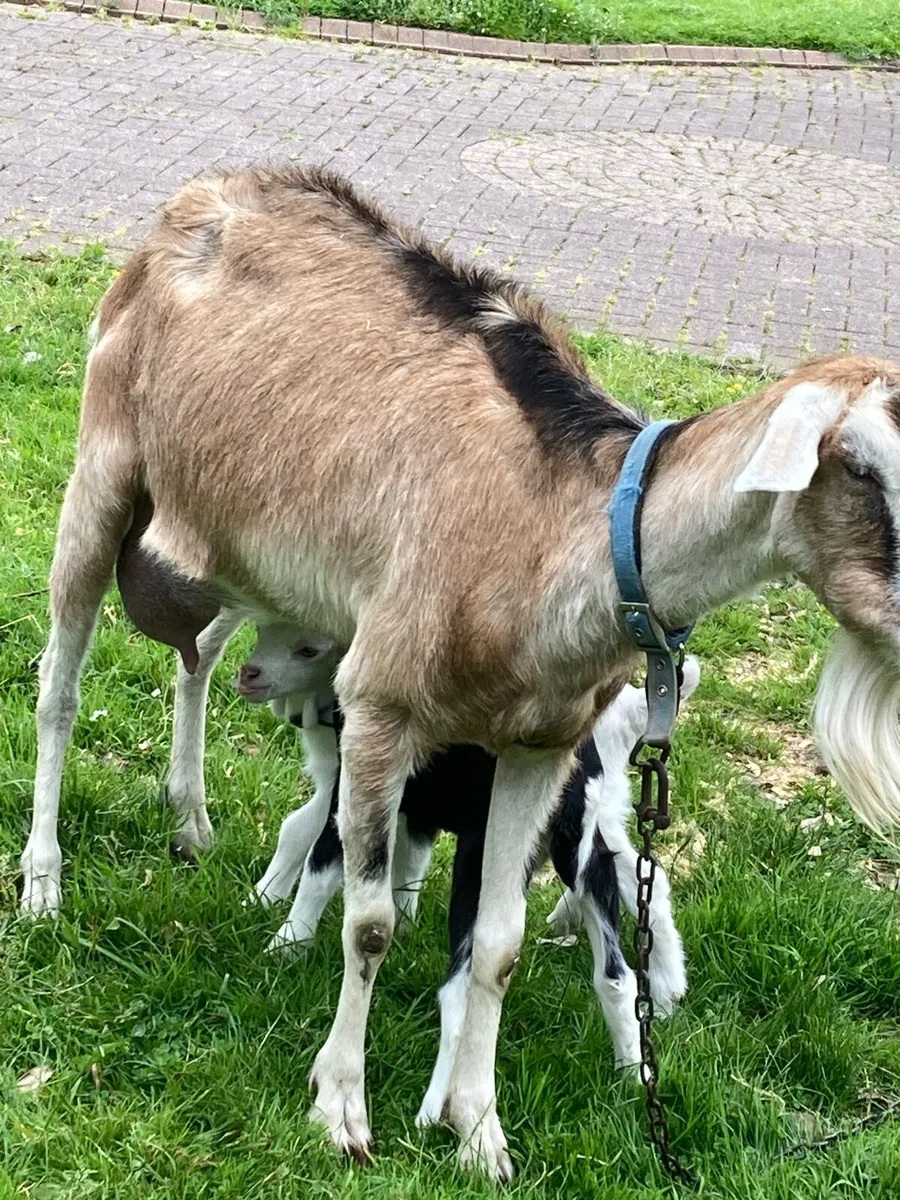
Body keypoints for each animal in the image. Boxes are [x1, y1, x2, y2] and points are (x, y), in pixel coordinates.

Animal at [236, 626, 696, 1117]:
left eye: (308, 649)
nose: (247, 675)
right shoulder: (407, 812)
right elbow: (398, 865)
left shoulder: (351, 798)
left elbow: (315, 857)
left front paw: (283, 942)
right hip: (578, 849)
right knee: (615, 963)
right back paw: (634, 1066)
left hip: (494, 865)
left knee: (464, 989)